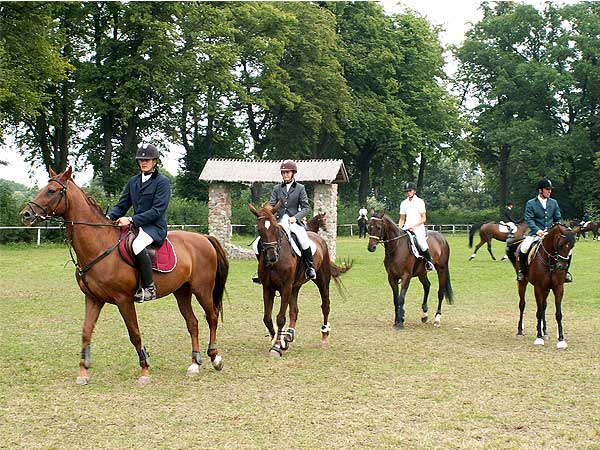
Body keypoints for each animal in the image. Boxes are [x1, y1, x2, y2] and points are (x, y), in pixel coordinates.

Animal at [19, 167, 230, 384]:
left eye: (51, 191)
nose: (26, 214)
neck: (99, 246)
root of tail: (204, 238)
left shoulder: (124, 300)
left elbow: (134, 333)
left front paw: (145, 370)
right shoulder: (93, 298)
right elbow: (86, 332)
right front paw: (83, 372)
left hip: (202, 289)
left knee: (212, 317)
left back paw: (215, 358)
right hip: (182, 291)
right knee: (192, 323)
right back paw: (194, 364)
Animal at [248, 202, 352, 356]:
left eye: (275, 228)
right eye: (260, 230)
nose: (271, 257)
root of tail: (319, 238)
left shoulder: (285, 287)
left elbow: (280, 318)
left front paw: (277, 346)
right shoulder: (268, 288)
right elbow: (267, 318)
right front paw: (278, 340)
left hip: (322, 280)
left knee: (325, 305)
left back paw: (324, 336)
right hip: (295, 286)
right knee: (294, 310)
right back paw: (289, 335)